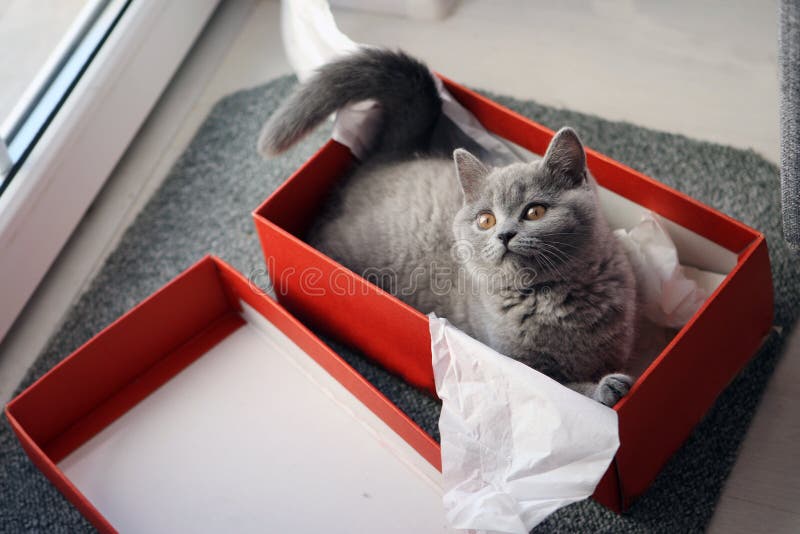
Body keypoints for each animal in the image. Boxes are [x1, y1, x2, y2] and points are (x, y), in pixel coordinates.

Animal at [262, 49, 636, 406]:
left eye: (535, 212)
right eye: (486, 219)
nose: (504, 234)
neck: (550, 299)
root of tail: (388, 158)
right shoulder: (518, 365)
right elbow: (565, 392)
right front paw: (606, 388)